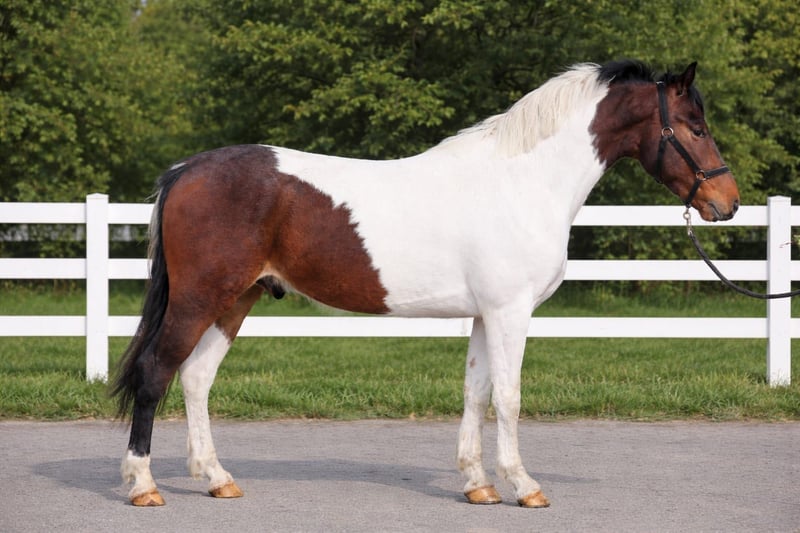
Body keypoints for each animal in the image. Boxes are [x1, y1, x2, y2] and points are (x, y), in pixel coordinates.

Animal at [113, 59, 739, 507]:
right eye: (696, 127)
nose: (726, 203)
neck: (521, 181)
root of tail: (187, 170)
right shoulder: (511, 312)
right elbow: (509, 397)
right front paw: (524, 486)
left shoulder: (486, 315)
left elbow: (476, 393)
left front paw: (478, 485)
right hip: (200, 298)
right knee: (156, 371)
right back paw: (144, 486)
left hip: (235, 299)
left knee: (195, 379)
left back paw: (217, 478)